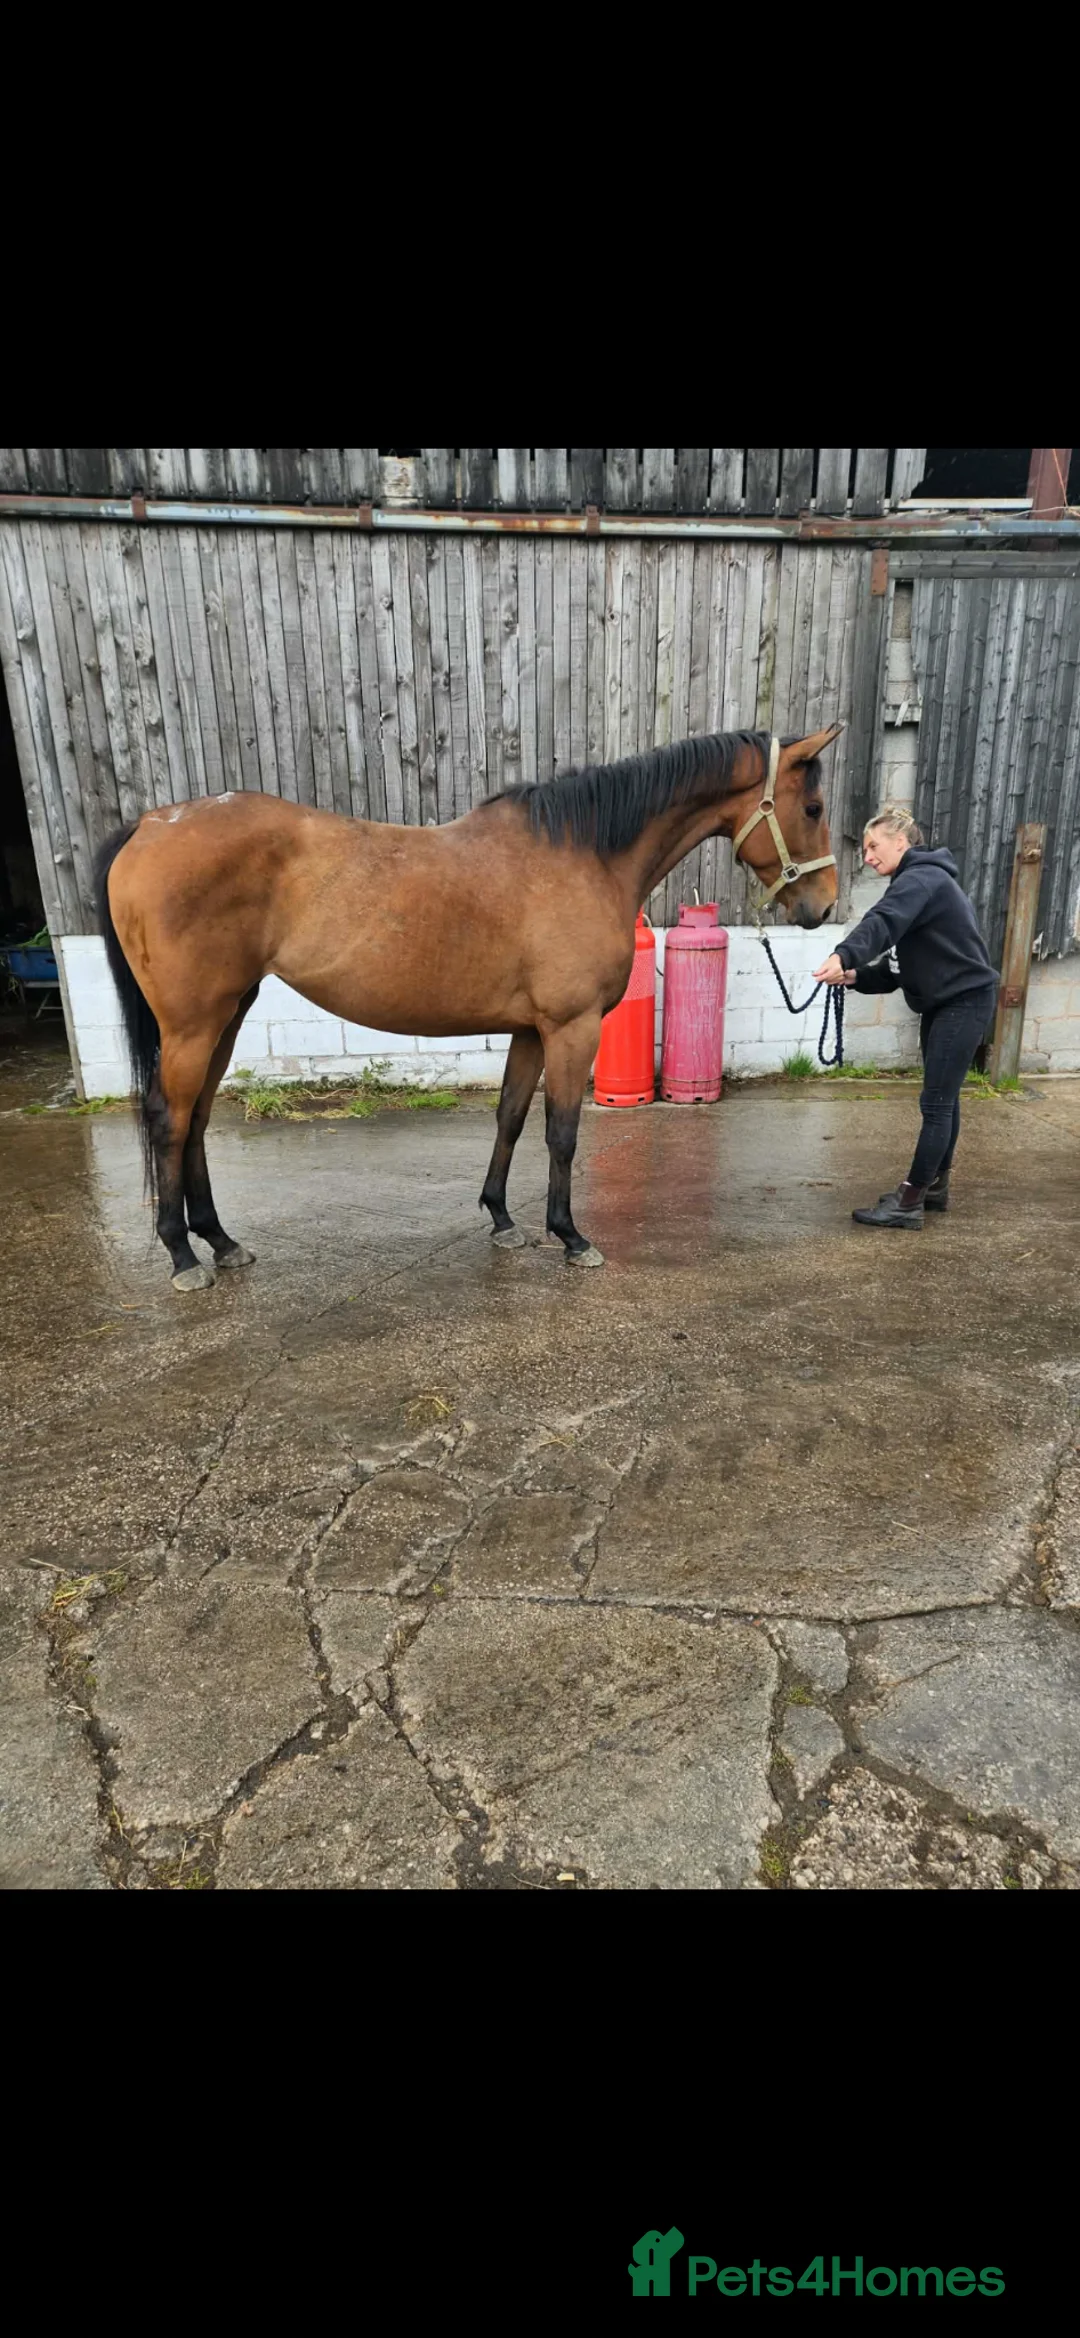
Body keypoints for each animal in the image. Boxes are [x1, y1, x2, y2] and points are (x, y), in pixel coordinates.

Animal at [94, 722, 841, 1289]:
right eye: (812, 809)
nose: (824, 906)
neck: (584, 857)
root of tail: (150, 826)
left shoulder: (531, 1030)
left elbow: (510, 1116)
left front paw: (503, 1220)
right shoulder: (571, 1029)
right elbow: (562, 1133)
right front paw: (571, 1237)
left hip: (226, 1015)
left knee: (196, 1121)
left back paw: (220, 1241)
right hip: (193, 1024)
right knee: (170, 1120)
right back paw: (182, 1255)